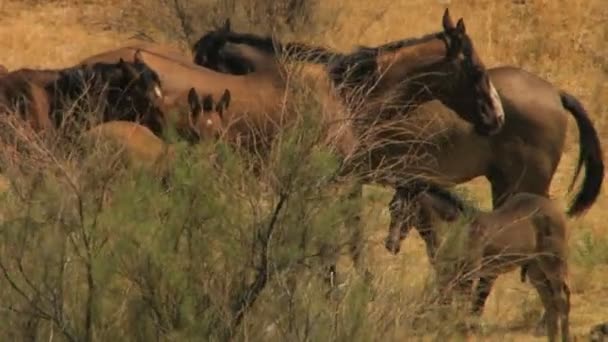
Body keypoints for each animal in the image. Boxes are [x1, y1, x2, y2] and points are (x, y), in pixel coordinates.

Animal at [404, 187, 568, 342]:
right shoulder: (446, 273)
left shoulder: (468, 273)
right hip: (536, 270)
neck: (454, 229)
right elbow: (443, 302)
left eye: (402, 206)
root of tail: (554, 208)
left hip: (553, 263)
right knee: (550, 303)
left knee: (562, 299)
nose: (394, 240)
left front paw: (461, 332)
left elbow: (462, 304)